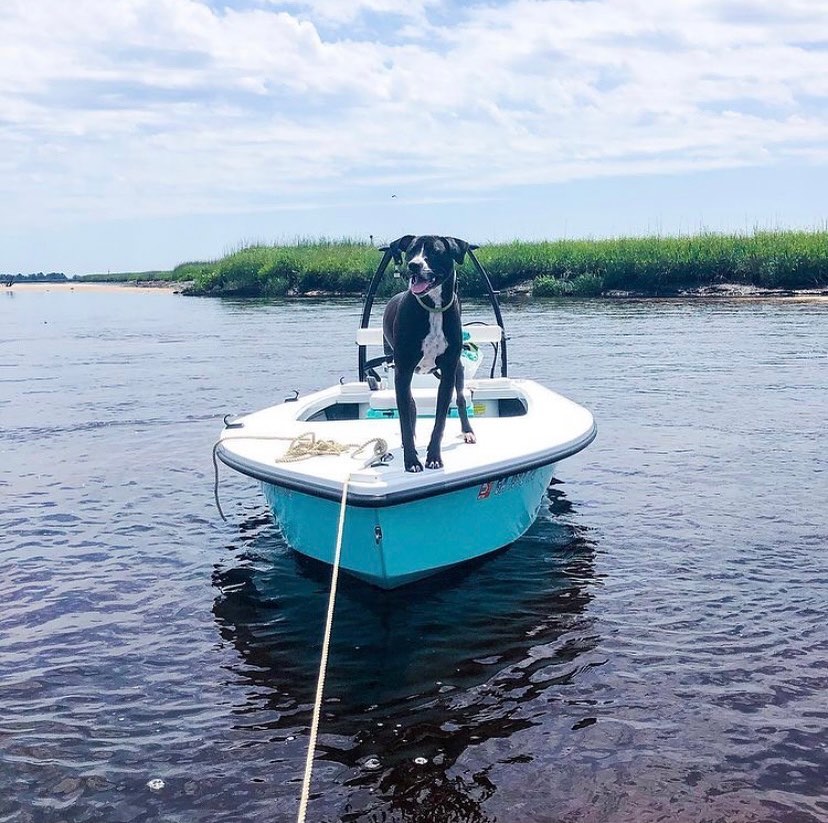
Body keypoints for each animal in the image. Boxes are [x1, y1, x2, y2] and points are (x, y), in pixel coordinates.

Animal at [380, 235, 476, 474]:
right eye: (411, 250)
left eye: (435, 251)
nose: (414, 265)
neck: (433, 307)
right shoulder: (403, 370)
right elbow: (405, 419)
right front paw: (411, 461)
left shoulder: (449, 371)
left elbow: (440, 421)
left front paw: (433, 457)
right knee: (411, 406)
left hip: (458, 370)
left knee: (461, 399)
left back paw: (468, 431)